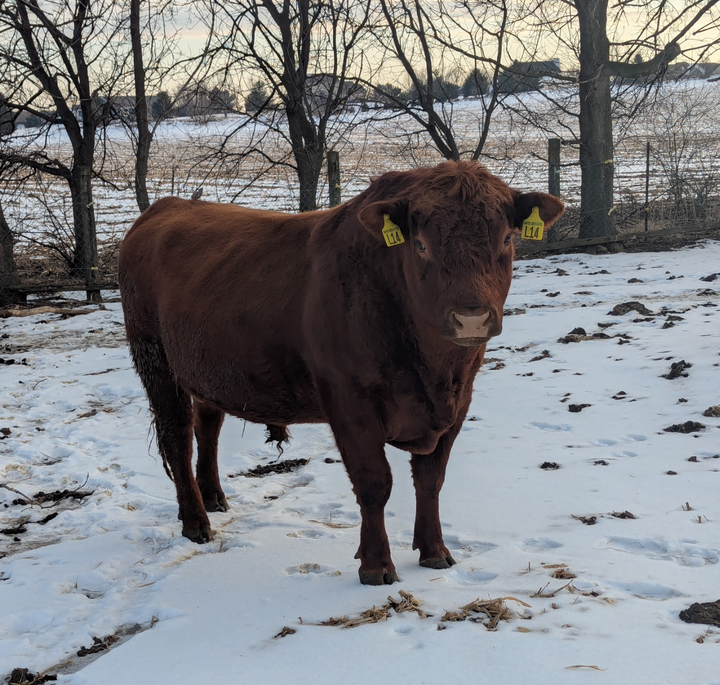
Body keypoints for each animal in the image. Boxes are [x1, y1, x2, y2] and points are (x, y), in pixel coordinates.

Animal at [118, 160, 563, 585]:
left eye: (506, 239)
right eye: (421, 245)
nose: (471, 318)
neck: (434, 370)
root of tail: (165, 207)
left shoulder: (458, 402)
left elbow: (430, 479)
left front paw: (435, 551)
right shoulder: (350, 403)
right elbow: (374, 484)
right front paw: (376, 565)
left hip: (208, 370)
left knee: (207, 427)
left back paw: (213, 497)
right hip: (156, 360)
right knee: (177, 436)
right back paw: (196, 522)